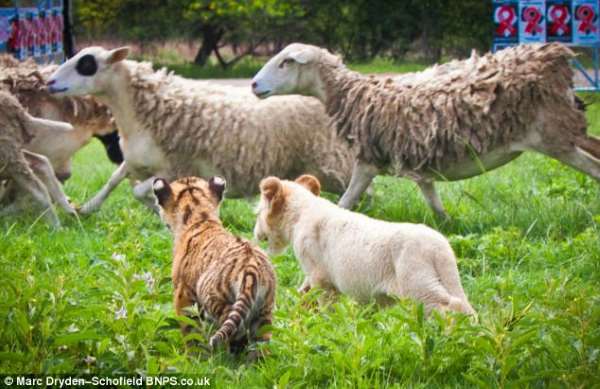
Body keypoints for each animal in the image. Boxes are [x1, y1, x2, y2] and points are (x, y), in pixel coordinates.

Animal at [0, 89, 77, 226]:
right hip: (12, 149)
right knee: (42, 161)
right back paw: (69, 210)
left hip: (7, 148)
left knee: (38, 189)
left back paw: (56, 226)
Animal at [253, 43, 600, 218]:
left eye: (286, 62)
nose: (254, 85)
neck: (354, 94)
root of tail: (557, 56)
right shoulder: (420, 163)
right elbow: (433, 201)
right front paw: (447, 226)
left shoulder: (368, 160)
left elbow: (346, 201)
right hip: (568, 131)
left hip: (554, 136)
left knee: (594, 168)